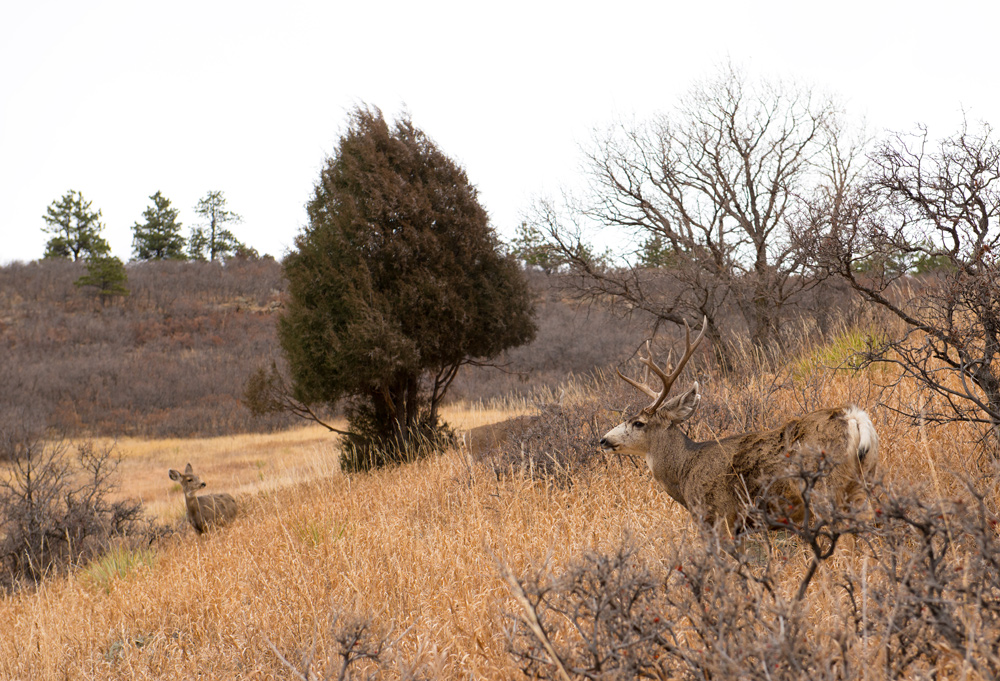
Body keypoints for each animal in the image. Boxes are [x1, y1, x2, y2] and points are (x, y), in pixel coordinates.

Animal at [600, 318, 879, 539]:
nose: (603, 440)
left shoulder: (718, 515)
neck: (684, 471)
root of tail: (853, 417)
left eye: (638, 422)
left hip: (825, 487)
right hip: (861, 484)